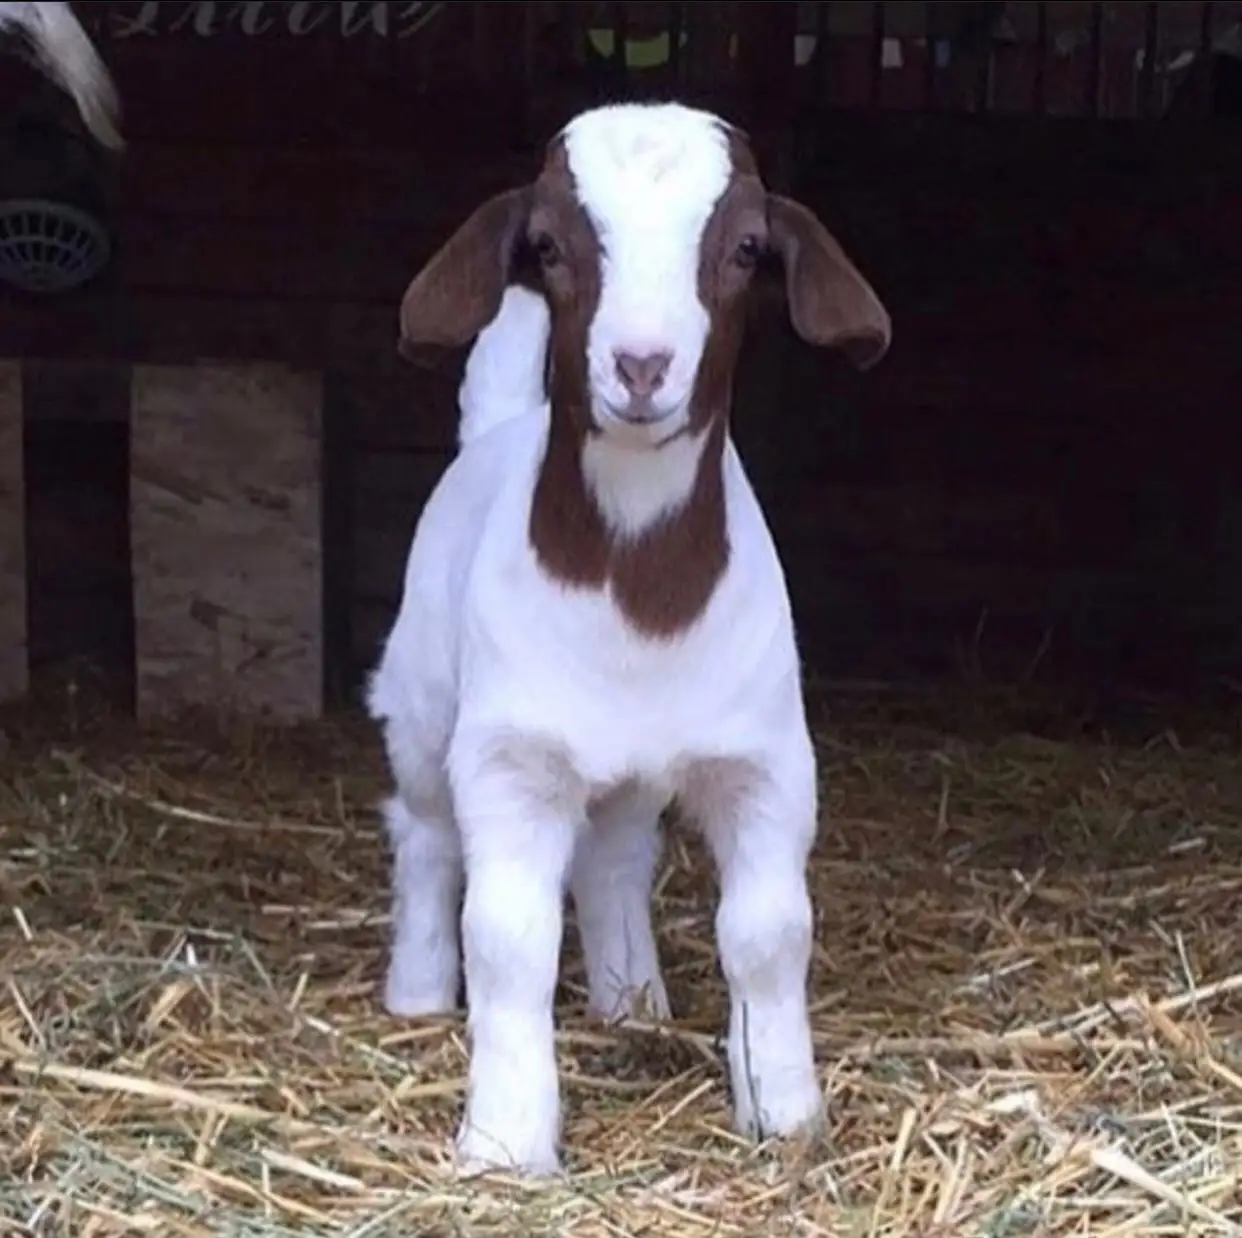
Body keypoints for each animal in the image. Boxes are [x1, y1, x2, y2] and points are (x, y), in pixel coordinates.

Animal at [367, 100, 891, 1176]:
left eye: (744, 248)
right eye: (549, 246)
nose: (642, 365)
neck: (640, 581)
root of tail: (498, 427)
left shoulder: (765, 762)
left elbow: (770, 933)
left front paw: (786, 1110)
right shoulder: (511, 761)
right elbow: (509, 937)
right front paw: (506, 1137)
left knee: (611, 855)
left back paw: (630, 1002)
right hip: (427, 703)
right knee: (426, 831)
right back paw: (419, 991)